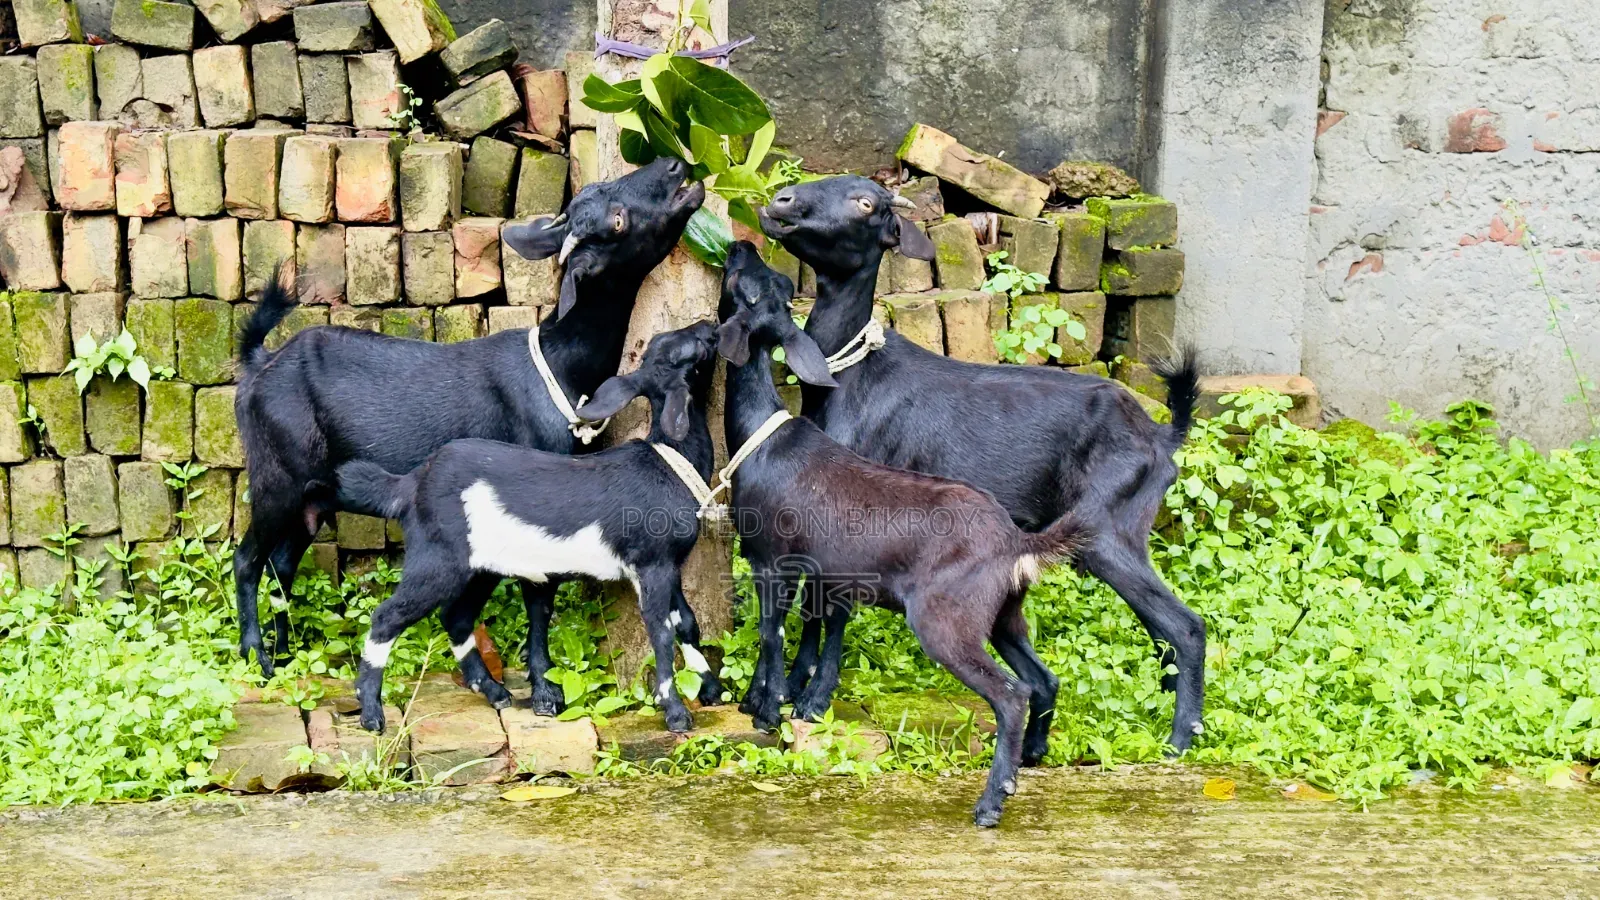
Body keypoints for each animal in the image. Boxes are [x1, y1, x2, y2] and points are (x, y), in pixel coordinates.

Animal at [336, 322, 725, 732]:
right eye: (692, 350)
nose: (711, 326)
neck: (670, 463)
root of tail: (411, 484)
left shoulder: (669, 564)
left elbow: (686, 622)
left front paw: (710, 688)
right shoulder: (650, 564)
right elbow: (661, 633)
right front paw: (675, 711)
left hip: (480, 568)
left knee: (455, 617)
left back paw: (492, 690)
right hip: (436, 560)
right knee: (386, 617)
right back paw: (371, 712)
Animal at [716, 241, 1089, 827]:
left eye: (747, 286)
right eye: (775, 282)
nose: (741, 245)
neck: (760, 432)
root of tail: (1015, 543)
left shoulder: (772, 561)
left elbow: (772, 636)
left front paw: (767, 713)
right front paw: (761, 702)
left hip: (943, 620)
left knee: (1010, 695)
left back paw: (990, 803)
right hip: (1002, 614)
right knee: (1040, 680)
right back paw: (1025, 764)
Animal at [758, 176, 1204, 753]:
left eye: (866, 203)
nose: (782, 201)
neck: (849, 376)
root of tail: (1161, 436)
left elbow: (832, 611)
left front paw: (813, 700)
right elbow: (813, 607)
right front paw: (795, 685)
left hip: (1109, 530)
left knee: (1186, 627)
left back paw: (1180, 738)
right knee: (1161, 629)